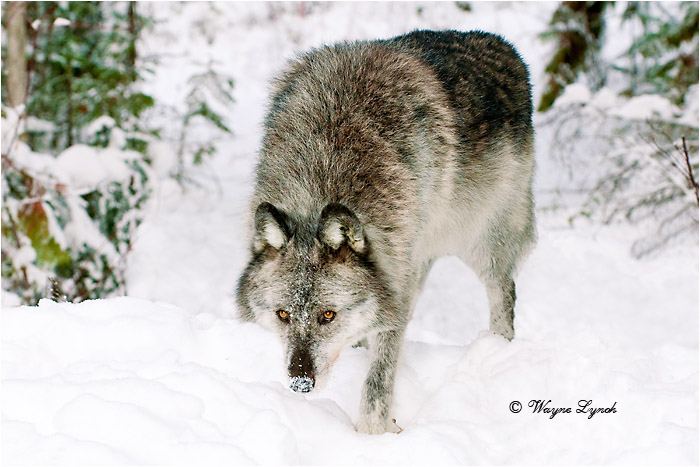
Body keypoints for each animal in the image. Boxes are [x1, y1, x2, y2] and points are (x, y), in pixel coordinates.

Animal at [236, 30, 535, 434]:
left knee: (503, 291)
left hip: (481, 245)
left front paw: (372, 434)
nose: (300, 383)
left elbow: (380, 376)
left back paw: (497, 353)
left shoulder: (396, 274)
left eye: (328, 316)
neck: (325, 165)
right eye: (283, 315)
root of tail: (504, 46)